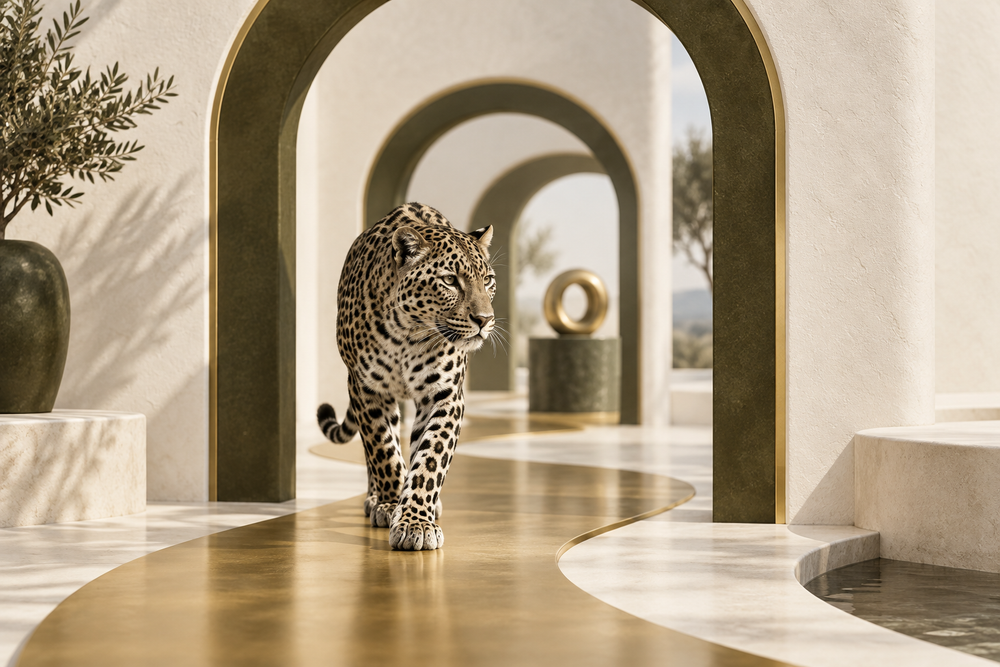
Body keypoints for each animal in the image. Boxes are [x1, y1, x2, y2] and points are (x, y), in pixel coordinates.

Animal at [317, 203, 496, 551]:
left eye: (489, 280)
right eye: (450, 280)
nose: (485, 319)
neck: (408, 334)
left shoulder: (444, 396)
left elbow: (430, 459)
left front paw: (416, 519)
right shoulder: (366, 389)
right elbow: (382, 450)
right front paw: (389, 504)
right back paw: (377, 498)